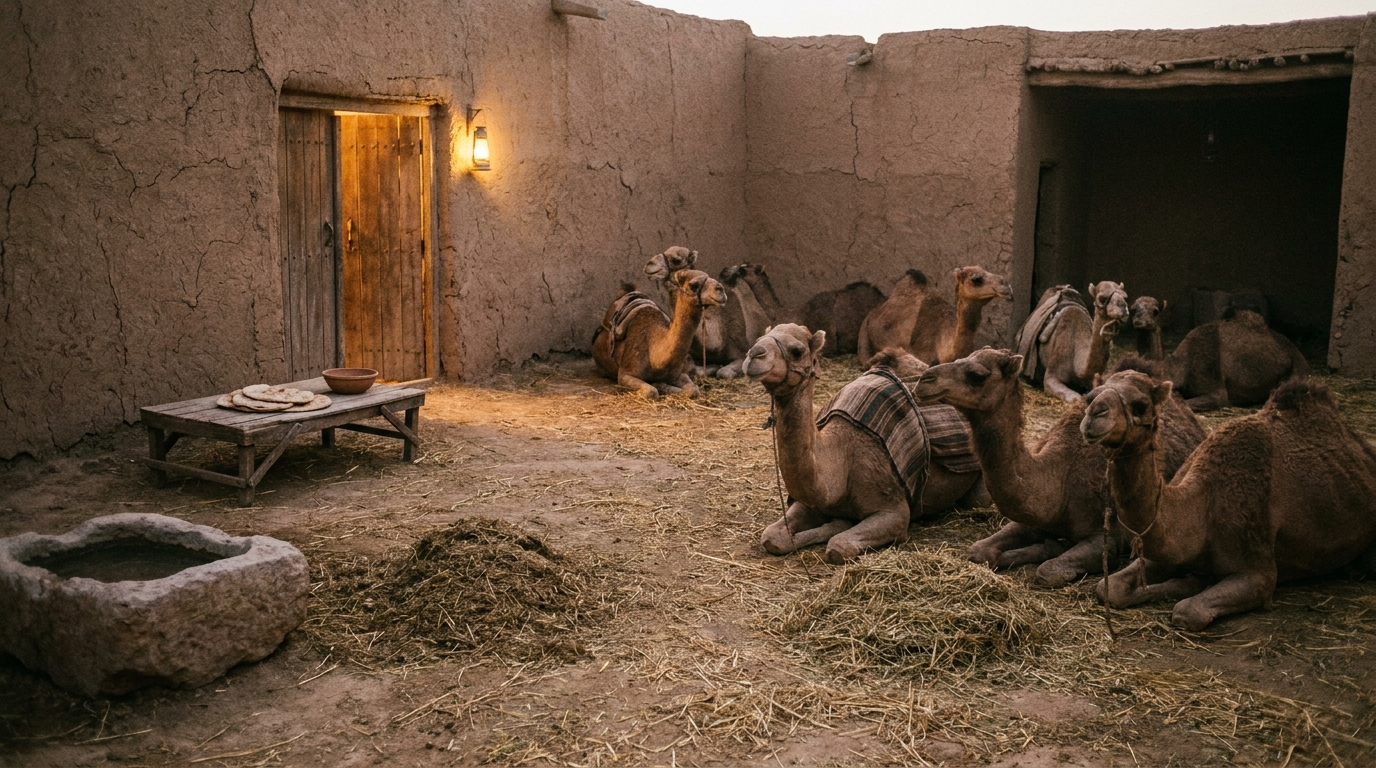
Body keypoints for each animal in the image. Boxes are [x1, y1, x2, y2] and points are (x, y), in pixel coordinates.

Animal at [592, 269, 727, 398]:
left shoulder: (677, 373)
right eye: (693, 285)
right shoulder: (625, 374)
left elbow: (693, 390)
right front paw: (659, 385)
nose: (720, 289)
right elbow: (651, 391)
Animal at [744, 325, 984, 564]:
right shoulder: (811, 502)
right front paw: (836, 522)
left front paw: (839, 525)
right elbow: (772, 537)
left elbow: (839, 547)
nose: (754, 355)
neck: (841, 459)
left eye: (797, 351)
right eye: (758, 339)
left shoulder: (895, 512)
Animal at [913, 349, 1205, 585]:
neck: (1060, 480)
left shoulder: (1108, 536)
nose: (924, 381)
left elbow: (1048, 570)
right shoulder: (1032, 518)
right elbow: (979, 551)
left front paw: (1049, 550)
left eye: (977, 375)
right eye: (960, 359)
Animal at [1081, 372, 1376, 630]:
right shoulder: (1169, 552)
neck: (1202, 504)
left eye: (1141, 405)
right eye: (1089, 397)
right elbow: (1108, 588)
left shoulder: (1259, 573)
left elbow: (1188, 611)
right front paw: (1190, 579)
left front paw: (1192, 584)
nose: (1094, 414)